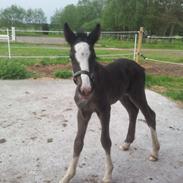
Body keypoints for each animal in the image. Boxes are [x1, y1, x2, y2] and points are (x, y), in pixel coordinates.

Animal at [59, 23, 159, 183]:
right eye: (71, 56)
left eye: (93, 56)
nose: (85, 89)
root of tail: (138, 66)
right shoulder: (83, 112)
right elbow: (78, 142)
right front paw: (68, 175)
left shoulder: (105, 110)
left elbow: (105, 140)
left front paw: (108, 174)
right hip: (124, 96)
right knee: (133, 112)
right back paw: (127, 143)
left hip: (137, 94)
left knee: (150, 114)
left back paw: (155, 152)